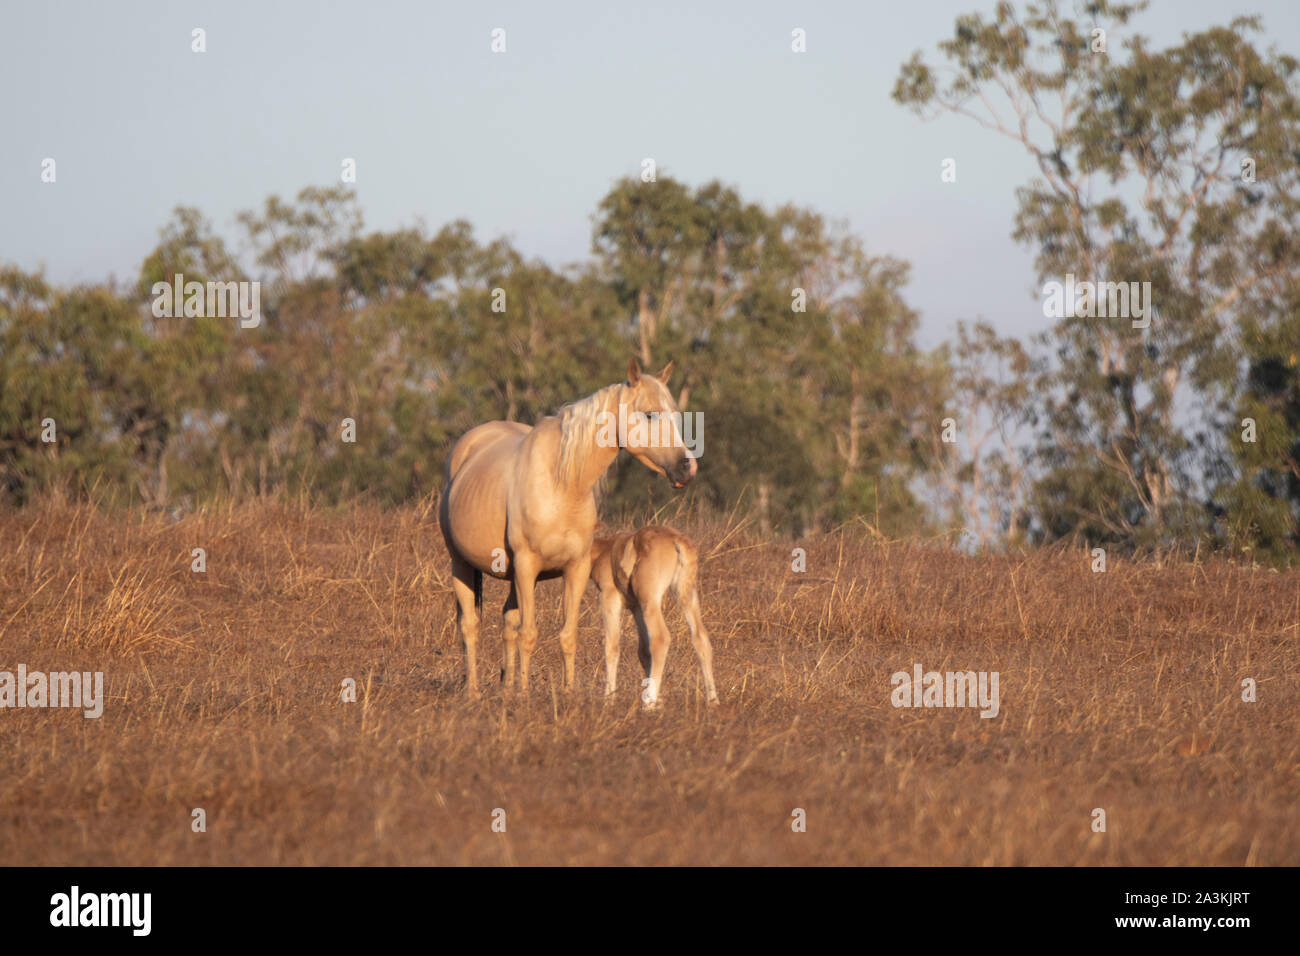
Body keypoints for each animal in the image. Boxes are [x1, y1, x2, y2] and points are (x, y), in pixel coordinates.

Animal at [438, 360, 696, 696]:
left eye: (677, 414)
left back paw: (506, 690)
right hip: (461, 564)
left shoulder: (575, 568)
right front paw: (525, 696)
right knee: (470, 626)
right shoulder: (527, 565)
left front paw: (567, 693)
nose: (687, 468)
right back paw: (473, 692)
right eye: (650, 414)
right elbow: (529, 634)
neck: (562, 485)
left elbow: (567, 636)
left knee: (507, 623)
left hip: (511, 576)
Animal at [588, 525, 718, 707]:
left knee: (660, 638)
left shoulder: (610, 598)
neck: (604, 550)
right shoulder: (636, 608)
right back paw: (712, 701)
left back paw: (649, 704)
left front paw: (608, 699)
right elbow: (643, 651)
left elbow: (611, 646)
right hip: (685, 594)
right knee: (700, 637)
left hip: (651, 601)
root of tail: (676, 541)